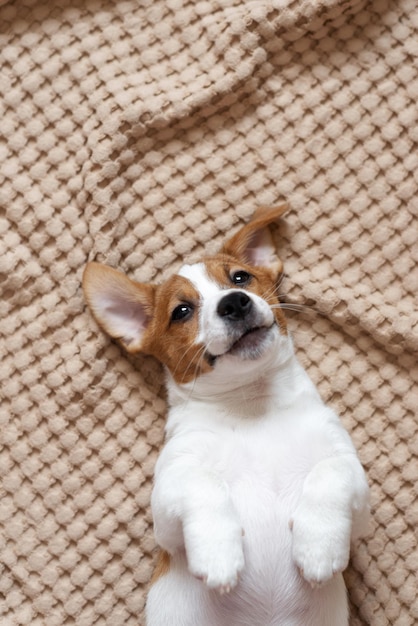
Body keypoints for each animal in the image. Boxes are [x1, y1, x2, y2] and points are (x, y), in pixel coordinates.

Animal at [81, 202, 370, 620]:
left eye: (240, 277)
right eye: (182, 311)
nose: (234, 301)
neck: (252, 407)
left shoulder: (357, 501)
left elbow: (331, 472)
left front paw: (319, 547)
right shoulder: (168, 508)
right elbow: (203, 483)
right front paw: (219, 555)